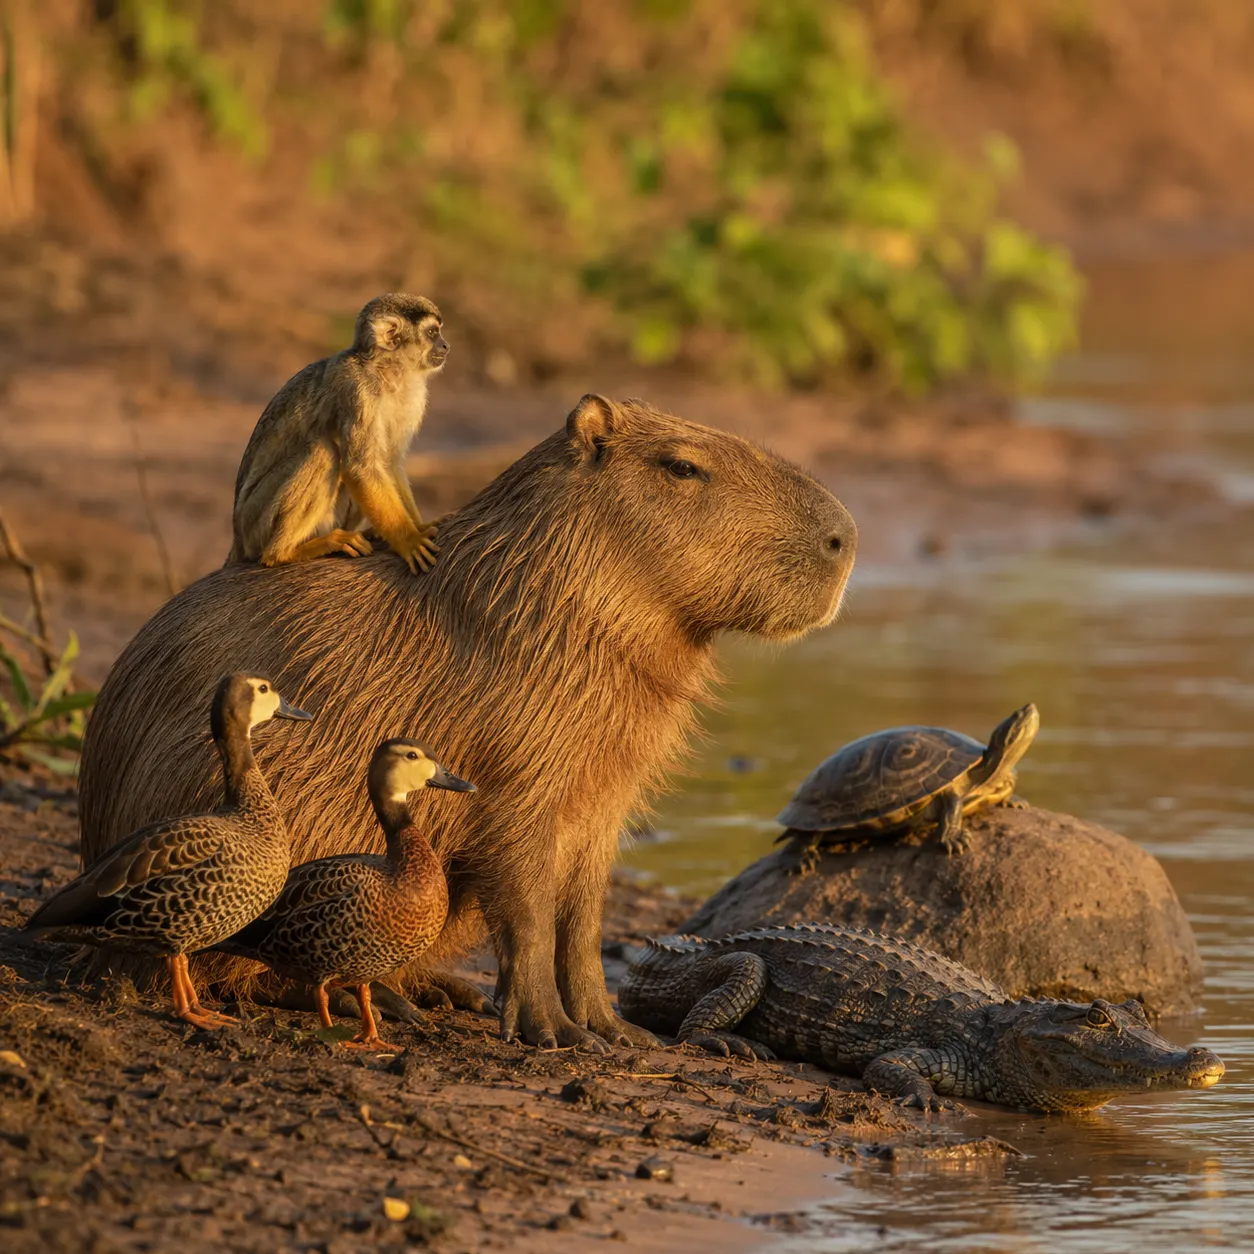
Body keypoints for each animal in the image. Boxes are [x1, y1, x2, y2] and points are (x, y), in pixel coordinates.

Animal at [226, 293, 449, 573]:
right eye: (432, 333)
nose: (445, 346)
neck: (386, 370)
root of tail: (237, 537)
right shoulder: (358, 390)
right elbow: (361, 468)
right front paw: (409, 540)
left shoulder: (414, 394)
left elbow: (388, 462)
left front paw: (418, 527)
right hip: (254, 524)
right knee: (324, 452)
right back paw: (282, 553)